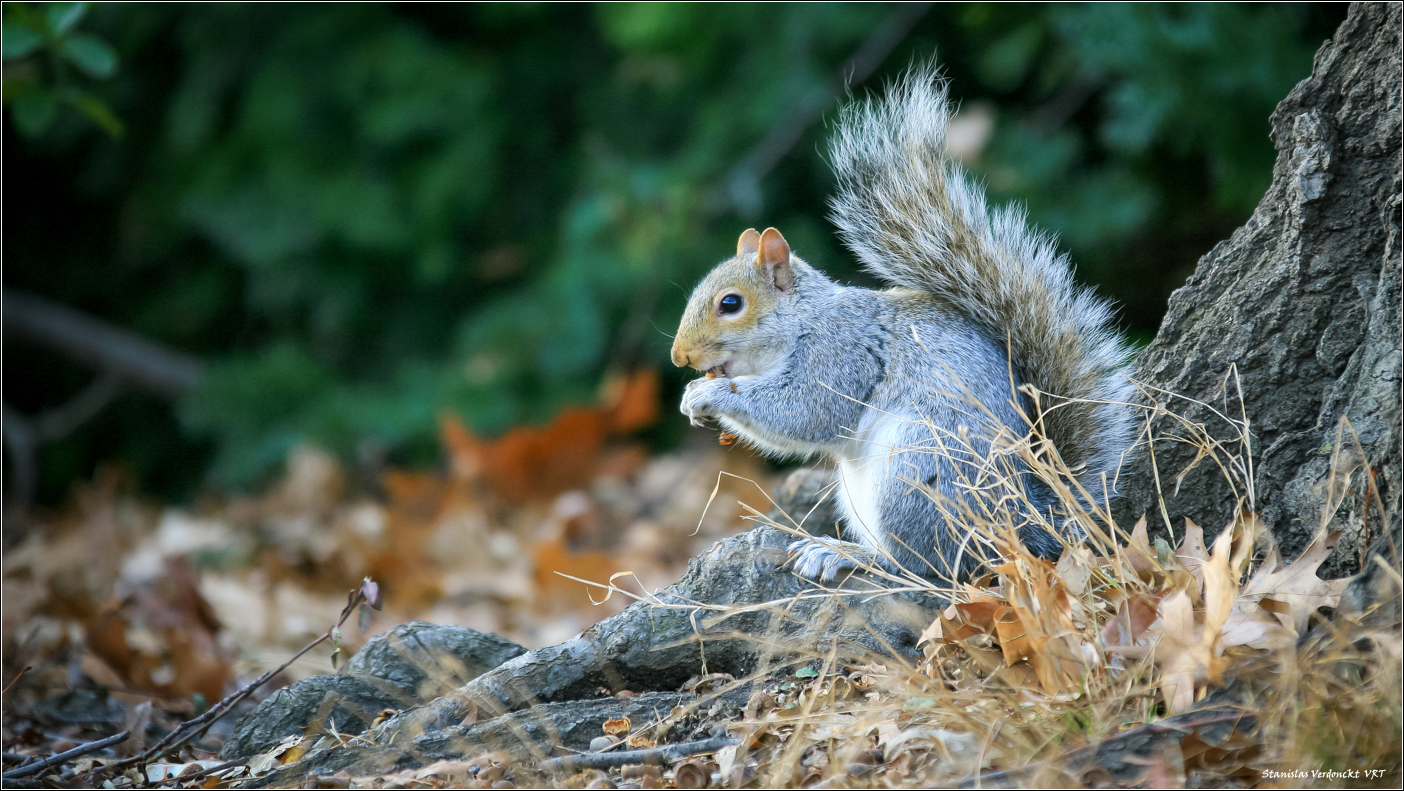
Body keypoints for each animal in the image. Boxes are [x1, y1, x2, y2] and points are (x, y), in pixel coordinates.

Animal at [668, 68, 1140, 584]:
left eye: (730, 304)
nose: (679, 357)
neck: (804, 322)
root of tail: (1022, 522)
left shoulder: (841, 354)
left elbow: (806, 412)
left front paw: (710, 394)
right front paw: (692, 397)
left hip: (915, 474)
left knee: (920, 563)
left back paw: (844, 553)